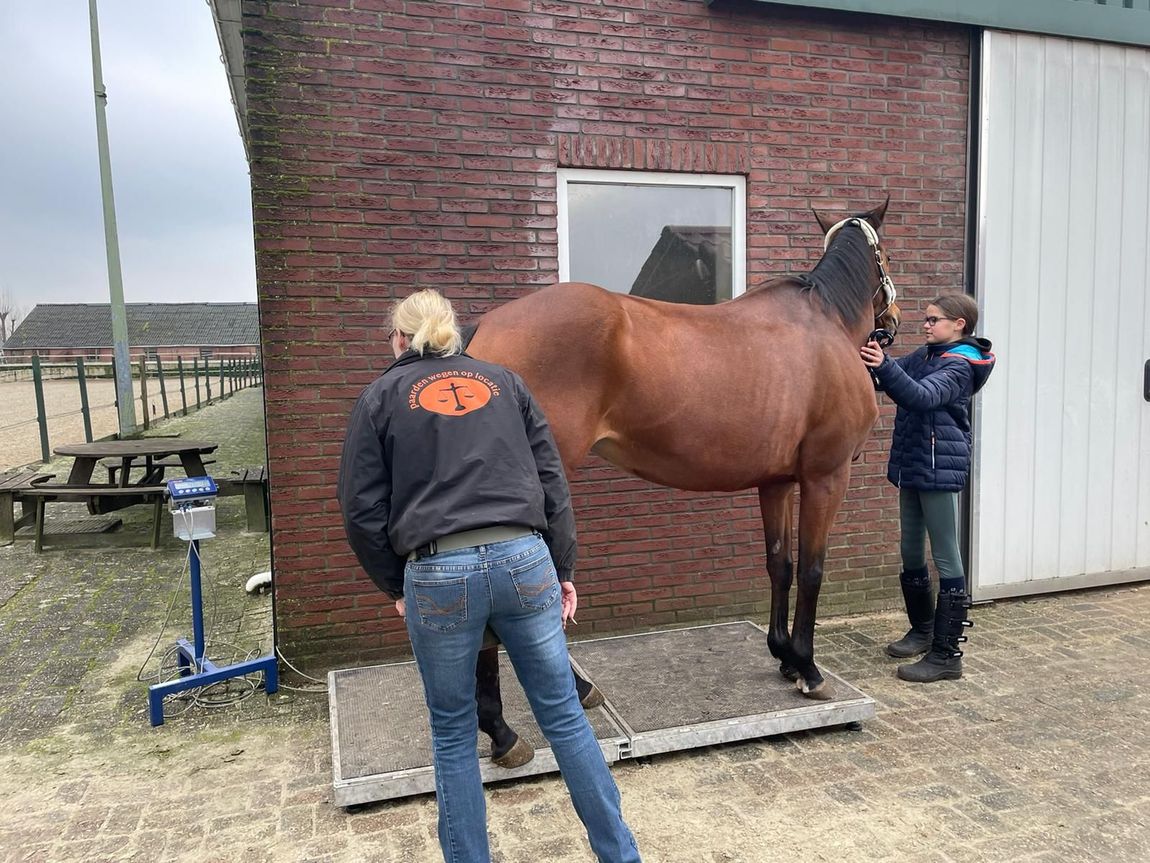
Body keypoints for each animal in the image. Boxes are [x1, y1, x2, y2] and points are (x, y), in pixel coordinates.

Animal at [465, 199, 901, 765]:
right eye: (884, 254)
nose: (894, 320)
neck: (824, 324)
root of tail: (484, 333)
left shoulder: (777, 482)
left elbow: (779, 565)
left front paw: (783, 656)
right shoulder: (826, 477)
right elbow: (812, 570)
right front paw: (807, 668)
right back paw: (504, 728)